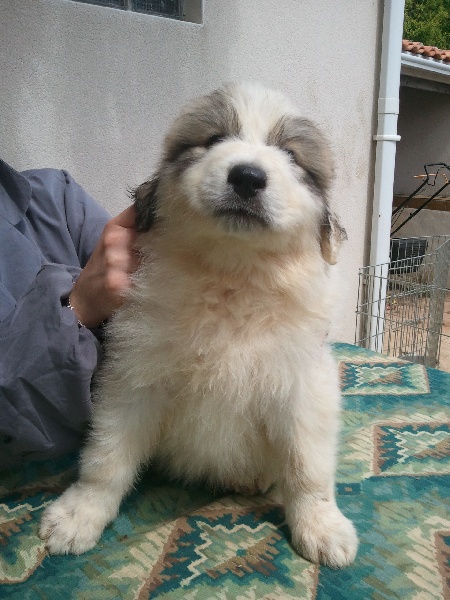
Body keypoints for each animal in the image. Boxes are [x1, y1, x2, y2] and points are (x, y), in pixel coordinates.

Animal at [40, 82, 358, 568]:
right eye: (213, 140)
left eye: (289, 153)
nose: (247, 176)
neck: (231, 276)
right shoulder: (135, 374)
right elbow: (107, 457)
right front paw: (79, 513)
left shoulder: (304, 384)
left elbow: (308, 466)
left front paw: (322, 526)